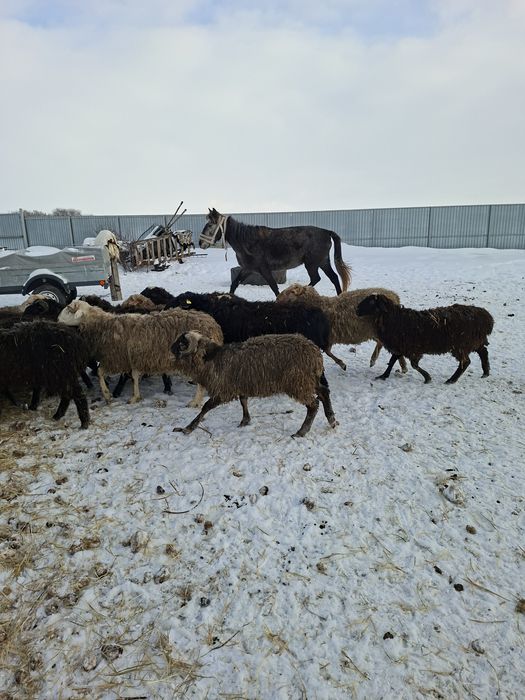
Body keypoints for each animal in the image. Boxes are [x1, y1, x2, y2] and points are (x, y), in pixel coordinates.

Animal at [58, 300, 224, 406]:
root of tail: (214, 325)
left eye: (68, 309)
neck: (102, 326)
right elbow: (135, 376)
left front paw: (107, 395)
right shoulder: (133, 357)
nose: (57, 321)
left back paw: (195, 402)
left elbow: (100, 372)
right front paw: (135, 397)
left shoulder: (115, 358)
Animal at [171, 331, 338, 437]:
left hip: (297, 382)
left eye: (181, 343)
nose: (170, 348)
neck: (211, 358)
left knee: (314, 404)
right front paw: (245, 420)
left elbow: (206, 407)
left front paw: (188, 428)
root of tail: (315, 353)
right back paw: (331, 419)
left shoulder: (223, 389)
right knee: (324, 392)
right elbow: (243, 401)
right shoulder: (240, 384)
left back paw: (302, 431)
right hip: (308, 379)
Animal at [276, 283, 407, 372]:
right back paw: (400, 366)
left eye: (290, 292)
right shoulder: (327, 338)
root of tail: (395, 296)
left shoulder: (323, 337)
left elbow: (328, 352)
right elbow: (328, 352)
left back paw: (376, 360)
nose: (277, 298)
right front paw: (341, 364)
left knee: (387, 344)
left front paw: (342, 364)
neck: (318, 304)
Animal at [356, 294, 494, 383]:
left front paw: (427, 378)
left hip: (461, 345)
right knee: (483, 351)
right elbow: (392, 360)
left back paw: (452, 379)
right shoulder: (400, 346)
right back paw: (486, 372)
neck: (394, 319)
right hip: (474, 341)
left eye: (371, 302)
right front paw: (383, 375)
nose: (356, 310)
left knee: (466, 362)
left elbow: (414, 365)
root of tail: (486, 317)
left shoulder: (411, 348)